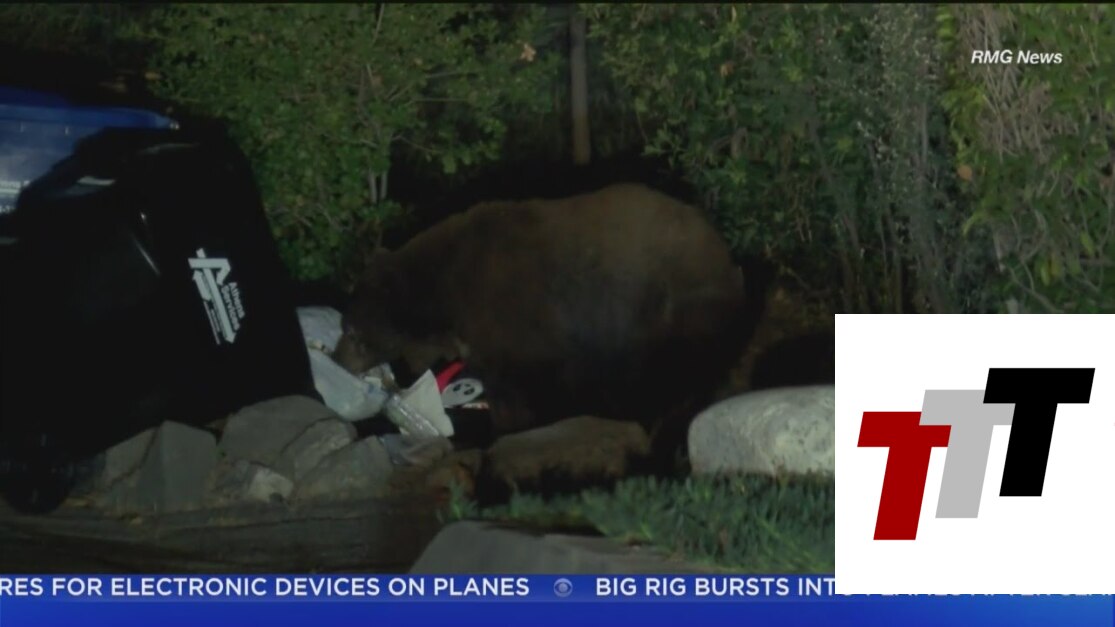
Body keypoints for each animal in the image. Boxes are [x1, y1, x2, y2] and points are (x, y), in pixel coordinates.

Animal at [332, 183, 766, 467]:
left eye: (350, 330)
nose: (336, 359)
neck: (441, 294)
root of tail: (725, 254)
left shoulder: (516, 322)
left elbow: (520, 391)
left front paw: (509, 435)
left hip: (674, 308)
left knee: (679, 372)